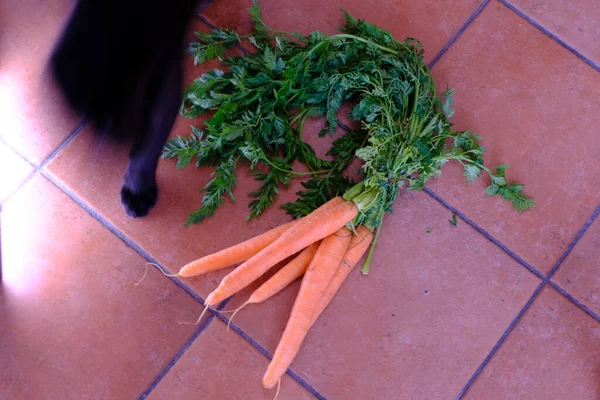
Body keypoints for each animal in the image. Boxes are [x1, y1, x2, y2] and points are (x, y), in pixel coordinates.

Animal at [49, 0, 198, 216]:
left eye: (109, 117)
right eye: (91, 117)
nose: (117, 139)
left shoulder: (167, 67)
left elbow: (150, 140)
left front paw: (137, 192)